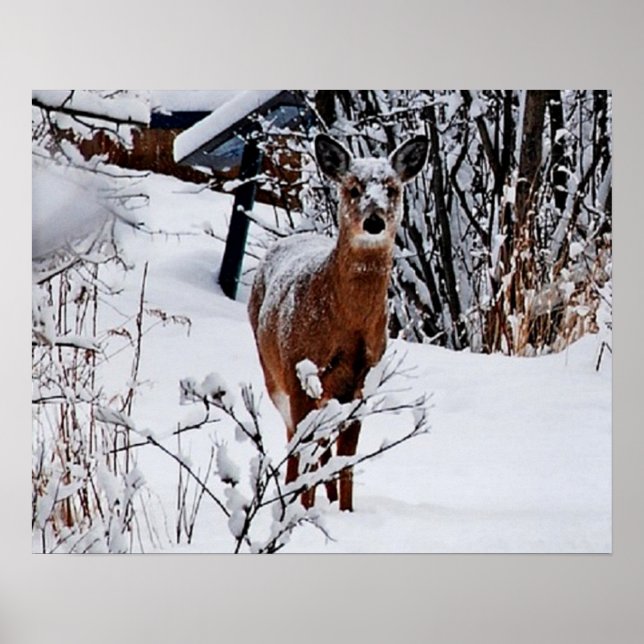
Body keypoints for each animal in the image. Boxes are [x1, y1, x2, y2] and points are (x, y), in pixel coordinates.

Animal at [248, 132, 429, 511]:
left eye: (392, 188)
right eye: (353, 188)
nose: (374, 222)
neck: (347, 324)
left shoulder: (363, 381)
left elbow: (346, 458)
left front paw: (346, 511)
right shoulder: (298, 369)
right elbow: (304, 451)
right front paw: (301, 512)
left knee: (323, 448)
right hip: (274, 374)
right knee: (297, 442)